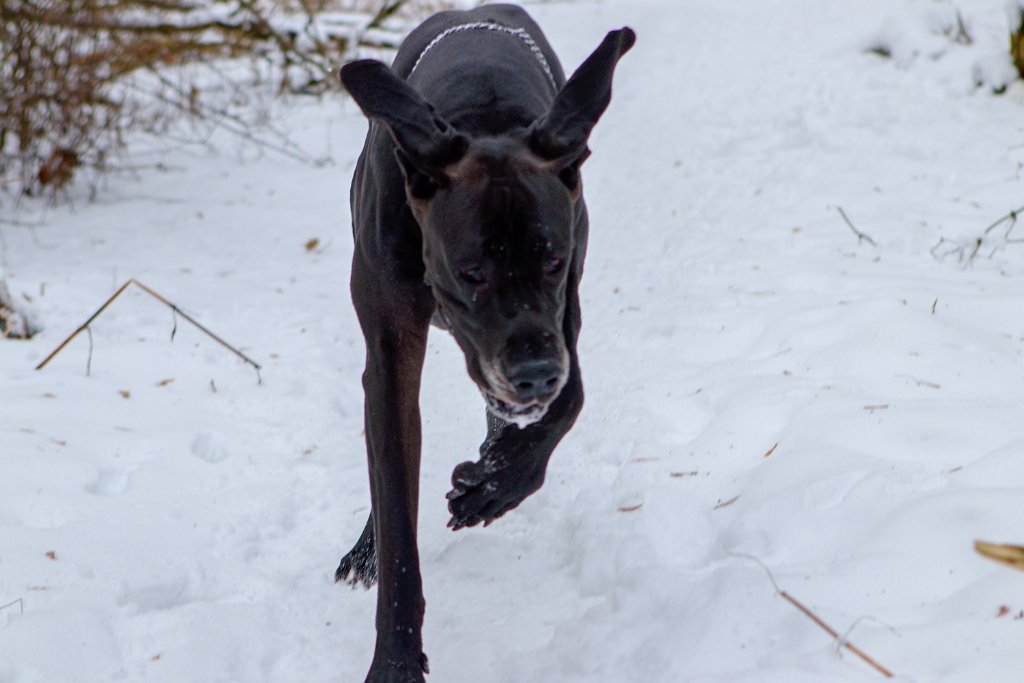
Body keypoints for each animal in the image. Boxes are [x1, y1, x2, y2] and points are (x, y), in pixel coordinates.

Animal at [335, 3, 630, 679]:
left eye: (551, 261)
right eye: (472, 271)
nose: (533, 373)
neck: (483, 115)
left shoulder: (562, 313)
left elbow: (571, 399)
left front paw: (496, 483)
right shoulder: (390, 351)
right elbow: (395, 495)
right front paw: (395, 658)